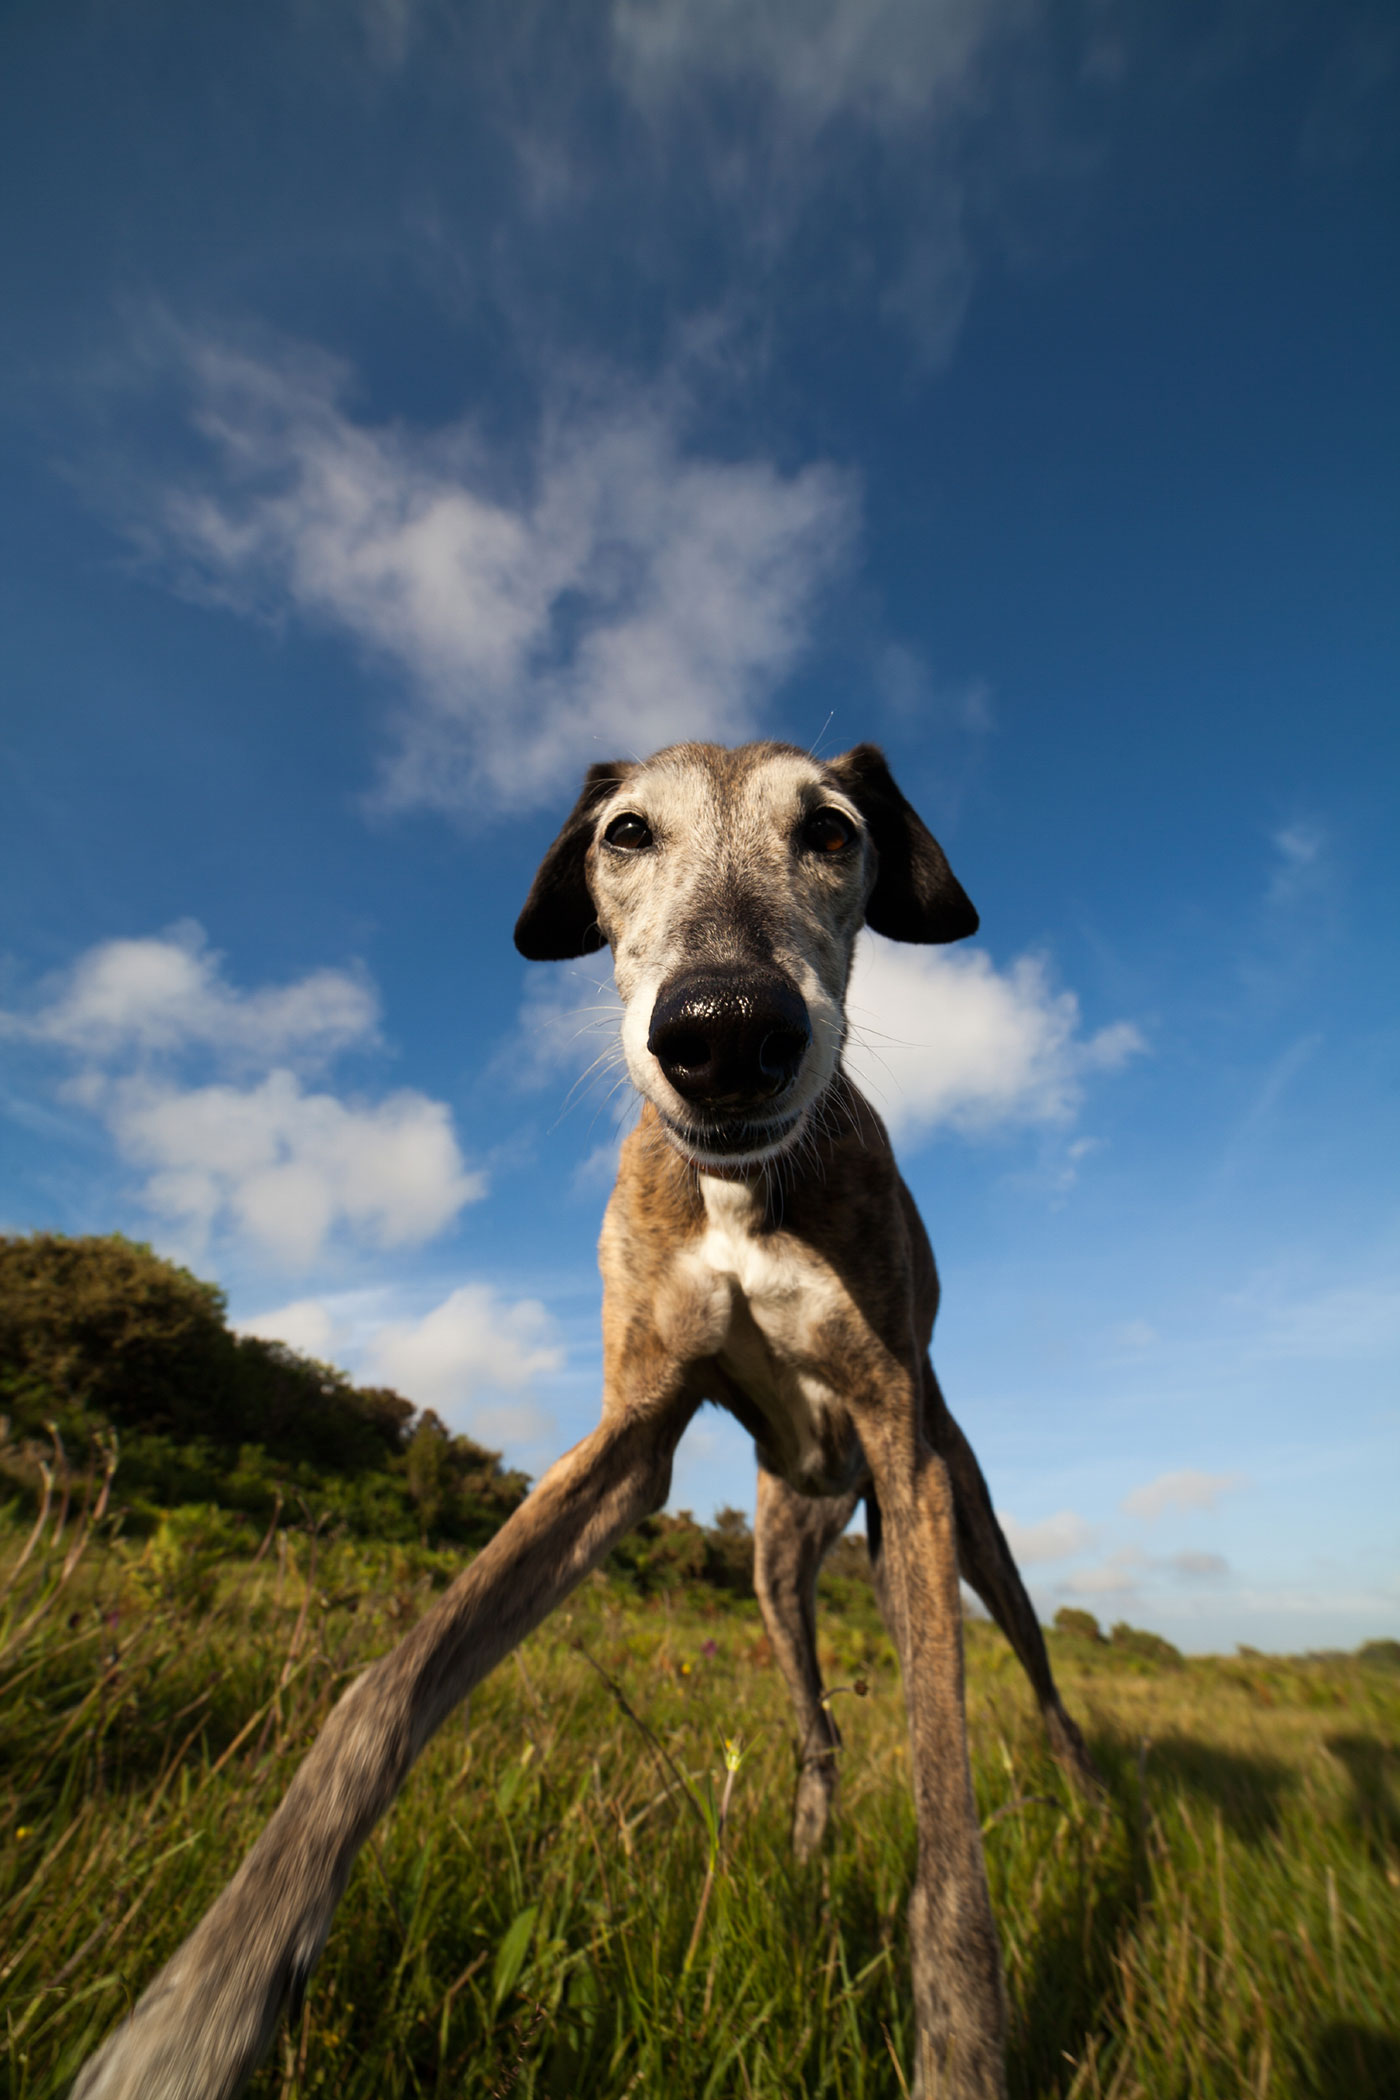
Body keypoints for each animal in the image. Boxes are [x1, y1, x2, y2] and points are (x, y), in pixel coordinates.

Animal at [76, 743, 1099, 2100]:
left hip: (949, 1521)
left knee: (1041, 1687)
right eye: (625, 832)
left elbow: (947, 1812)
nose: (724, 1033)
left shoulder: (895, 1431)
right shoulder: (626, 1442)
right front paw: (205, 1999)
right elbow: (381, 1693)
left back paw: (1100, 1817)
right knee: (818, 1727)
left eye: (831, 832)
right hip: (778, 1571)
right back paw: (807, 1863)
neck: (737, 1192)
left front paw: (960, 2043)